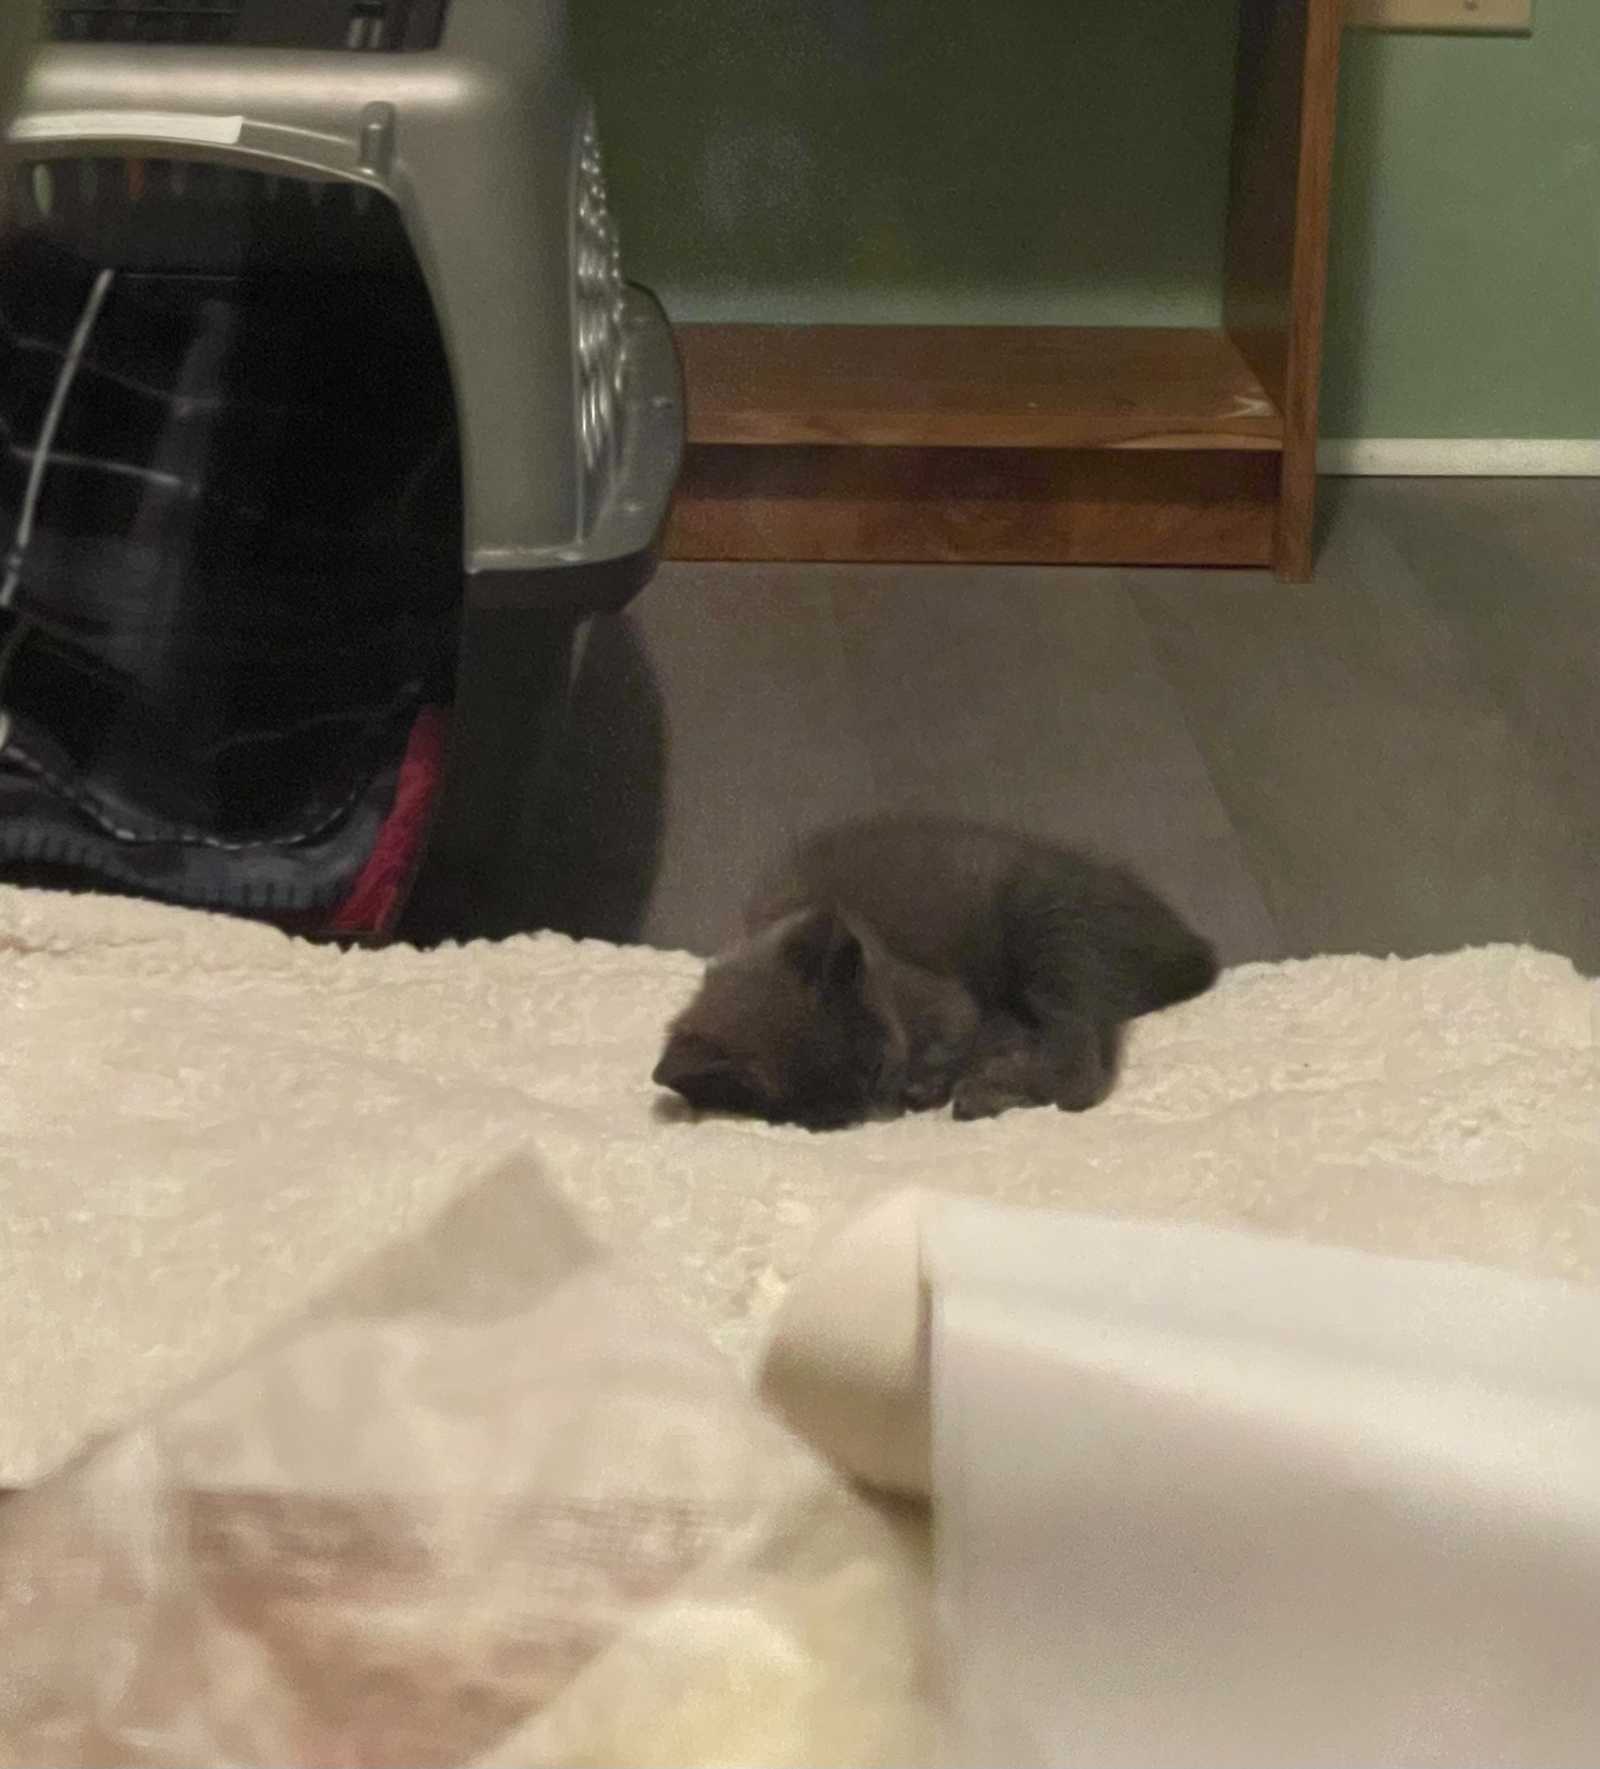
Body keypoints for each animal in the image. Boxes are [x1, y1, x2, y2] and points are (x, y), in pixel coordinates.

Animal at [652, 816, 1218, 1130]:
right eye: (826, 1117)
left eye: (877, 1069)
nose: (885, 1114)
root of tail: (1191, 943)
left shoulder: (941, 997)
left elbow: (955, 1029)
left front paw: (929, 1084)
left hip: (1050, 927)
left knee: (1082, 1065)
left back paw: (991, 1088)